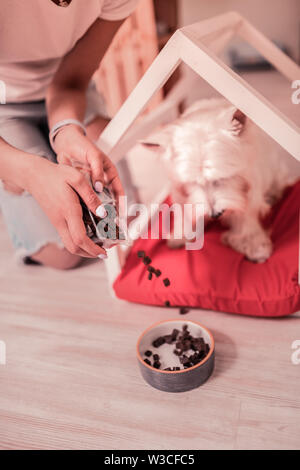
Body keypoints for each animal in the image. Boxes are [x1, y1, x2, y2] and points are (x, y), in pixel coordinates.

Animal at [142, 98, 292, 262]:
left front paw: (252, 243)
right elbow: (183, 209)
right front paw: (180, 234)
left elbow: (246, 215)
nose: (215, 214)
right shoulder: (178, 189)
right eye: (192, 182)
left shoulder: (250, 185)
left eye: (222, 177)